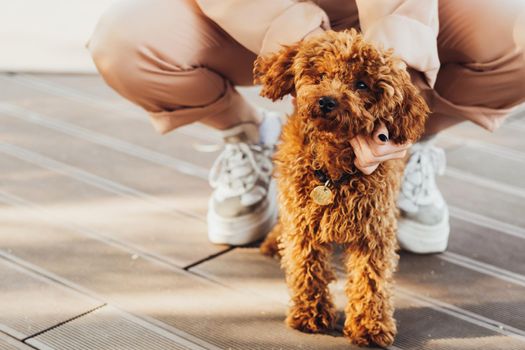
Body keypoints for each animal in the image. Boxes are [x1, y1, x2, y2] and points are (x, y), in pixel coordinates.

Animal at [255, 30, 430, 348]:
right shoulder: (303, 220)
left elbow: (371, 279)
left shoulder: (373, 228)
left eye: (361, 84)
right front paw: (309, 315)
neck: (333, 168)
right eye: (320, 75)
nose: (327, 101)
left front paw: (370, 326)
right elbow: (306, 266)